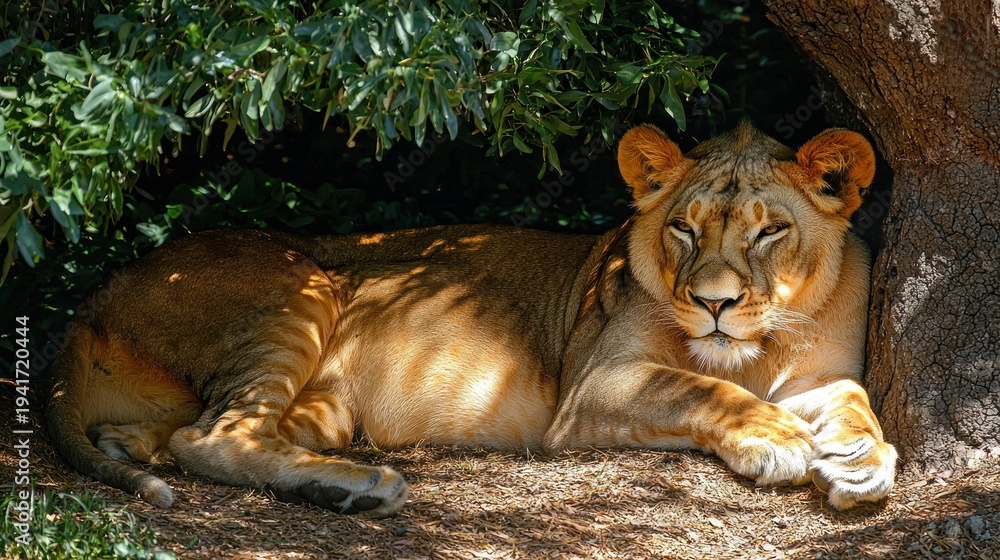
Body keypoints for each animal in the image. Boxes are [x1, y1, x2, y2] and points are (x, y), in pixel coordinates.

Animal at [47, 122, 897, 517]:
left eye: (769, 231)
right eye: (684, 230)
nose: (714, 303)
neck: (759, 348)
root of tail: (94, 297)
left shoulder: (823, 373)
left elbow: (858, 406)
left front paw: (862, 463)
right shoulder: (589, 389)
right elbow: (699, 389)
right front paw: (776, 437)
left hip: (319, 395)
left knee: (182, 435)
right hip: (299, 284)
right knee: (211, 437)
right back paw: (361, 487)